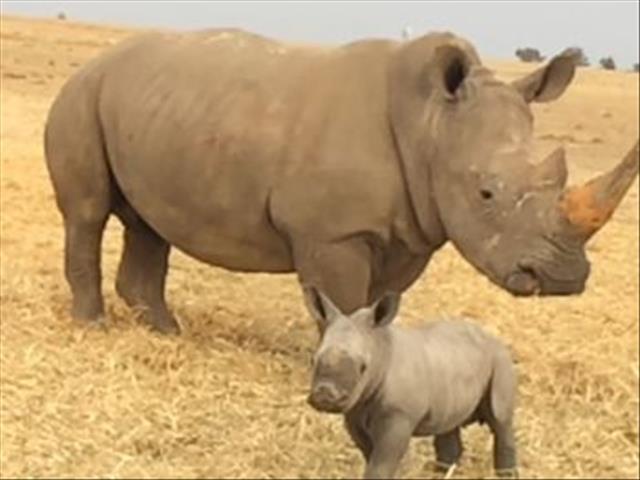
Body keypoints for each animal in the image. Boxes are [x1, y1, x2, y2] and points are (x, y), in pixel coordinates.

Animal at [44, 29, 639, 334]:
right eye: (486, 193)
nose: (562, 278)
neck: (431, 125)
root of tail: (94, 63)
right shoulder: (333, 233)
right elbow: (344, 301)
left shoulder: (411, 231)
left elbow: (381, 304)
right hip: (81, 96)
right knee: (87, 213)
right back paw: (92, 328)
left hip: (153, 109)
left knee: (150, 222)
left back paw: (167, 331)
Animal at [304, 287, 517, 479]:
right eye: (313, 361)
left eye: (363, 367)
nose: (325, 395)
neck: (380, 348)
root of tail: (492, 336)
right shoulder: (355, 411)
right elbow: (369, 454)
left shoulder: (399, 416)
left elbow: (382, 462)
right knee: (449, 423)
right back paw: (441, 473)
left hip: (500, 361)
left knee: (501, 420)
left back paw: (506, 475)